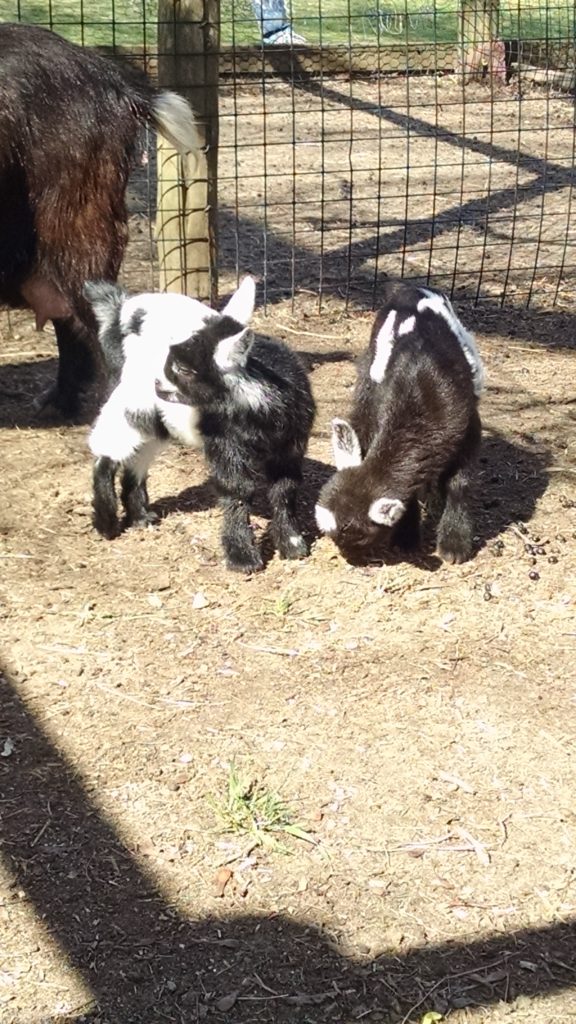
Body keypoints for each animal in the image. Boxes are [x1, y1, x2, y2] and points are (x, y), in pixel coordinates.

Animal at [85, 276, 313, 573]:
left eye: (184, 368)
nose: (156, 381)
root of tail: (121, 309)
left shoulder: (290, 446)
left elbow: (285, 490)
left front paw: (292, 544)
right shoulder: (223, 440)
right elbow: (236, 490)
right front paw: (242, 557)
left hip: (157, 421)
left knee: (139, 456)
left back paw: (140, 517)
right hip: (133, 399)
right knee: (109, 448)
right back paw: (107, 523)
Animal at [315, 280, 481, 565]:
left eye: (360, 536)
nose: (348, 558)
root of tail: (408, 288)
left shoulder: (469, 424)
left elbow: (460, 483)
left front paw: (454, 545)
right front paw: (406, 538)